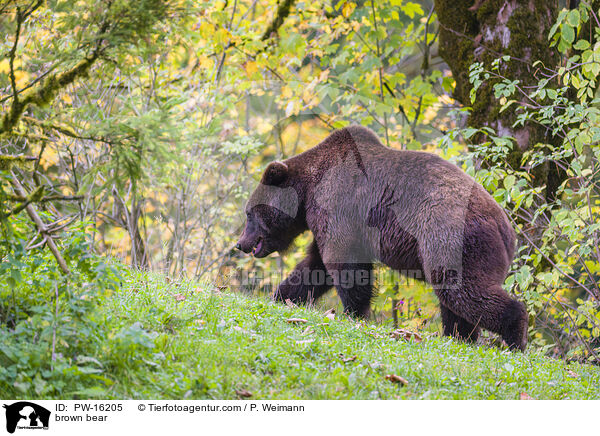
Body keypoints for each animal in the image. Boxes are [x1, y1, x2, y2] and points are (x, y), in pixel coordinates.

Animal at [237, 126, 528, 350]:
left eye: (249, 213)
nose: (240, 243)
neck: (308, 190)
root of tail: (505, 227)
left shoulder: (340, 206)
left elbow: (345, 265)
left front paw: (355, 313)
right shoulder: (328, 223)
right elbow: (314, 267)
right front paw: (282, 296)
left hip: (452, 238)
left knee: (463, 288)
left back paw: (514, 336)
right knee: (454, 298)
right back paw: (458, 336)